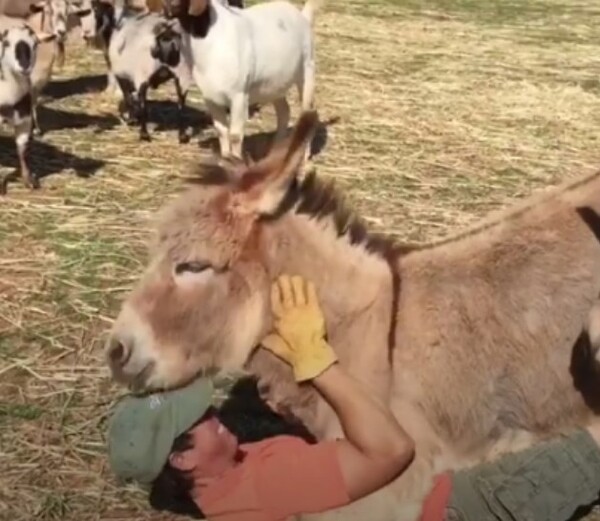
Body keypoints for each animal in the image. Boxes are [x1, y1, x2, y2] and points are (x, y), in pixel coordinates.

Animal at [0, 21, 55, 193]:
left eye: (35, 44)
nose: (24, 66)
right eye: (6, 43)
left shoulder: (24, 121)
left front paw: (29, 180)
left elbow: (22, 150)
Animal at [106, 11, 192, 142]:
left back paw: (144, 134)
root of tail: (165, 36)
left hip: (143, 73)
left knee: (143, 106)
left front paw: (132, 119)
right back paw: (182, 136)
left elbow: (128, 98)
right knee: (181, 106)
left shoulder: (122, 76)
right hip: (182, 75)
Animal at [159, 0, 318, 158]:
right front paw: (225, 160)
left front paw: (236, 160)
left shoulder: (239, 96)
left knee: (307, 113)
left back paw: (304, 155)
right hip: (274, 85)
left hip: (307, 71)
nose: (168, 8)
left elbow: (235, 135)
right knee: (284, 111)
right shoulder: (210, 98)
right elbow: (221, 131)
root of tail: (302, 16)